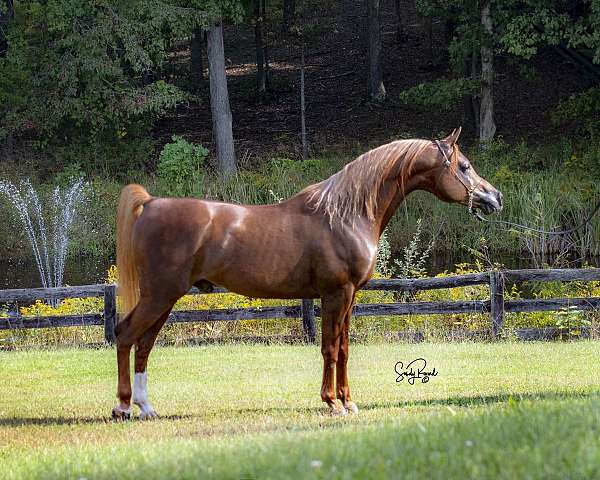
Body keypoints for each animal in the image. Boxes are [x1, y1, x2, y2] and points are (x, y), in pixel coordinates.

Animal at [111, 127, 502, 420]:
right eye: (464, 166)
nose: (494, 198)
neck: (345, 214)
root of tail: (151, 204)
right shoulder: (335, 293)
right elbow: (329, 347)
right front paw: (331, 403)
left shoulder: (351, 296)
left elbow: (343, 348)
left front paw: (348, 401)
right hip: (159, 295)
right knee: (126, 334)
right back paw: (123, 407)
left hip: (166, 300)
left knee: (144, 344)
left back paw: (146, 407)